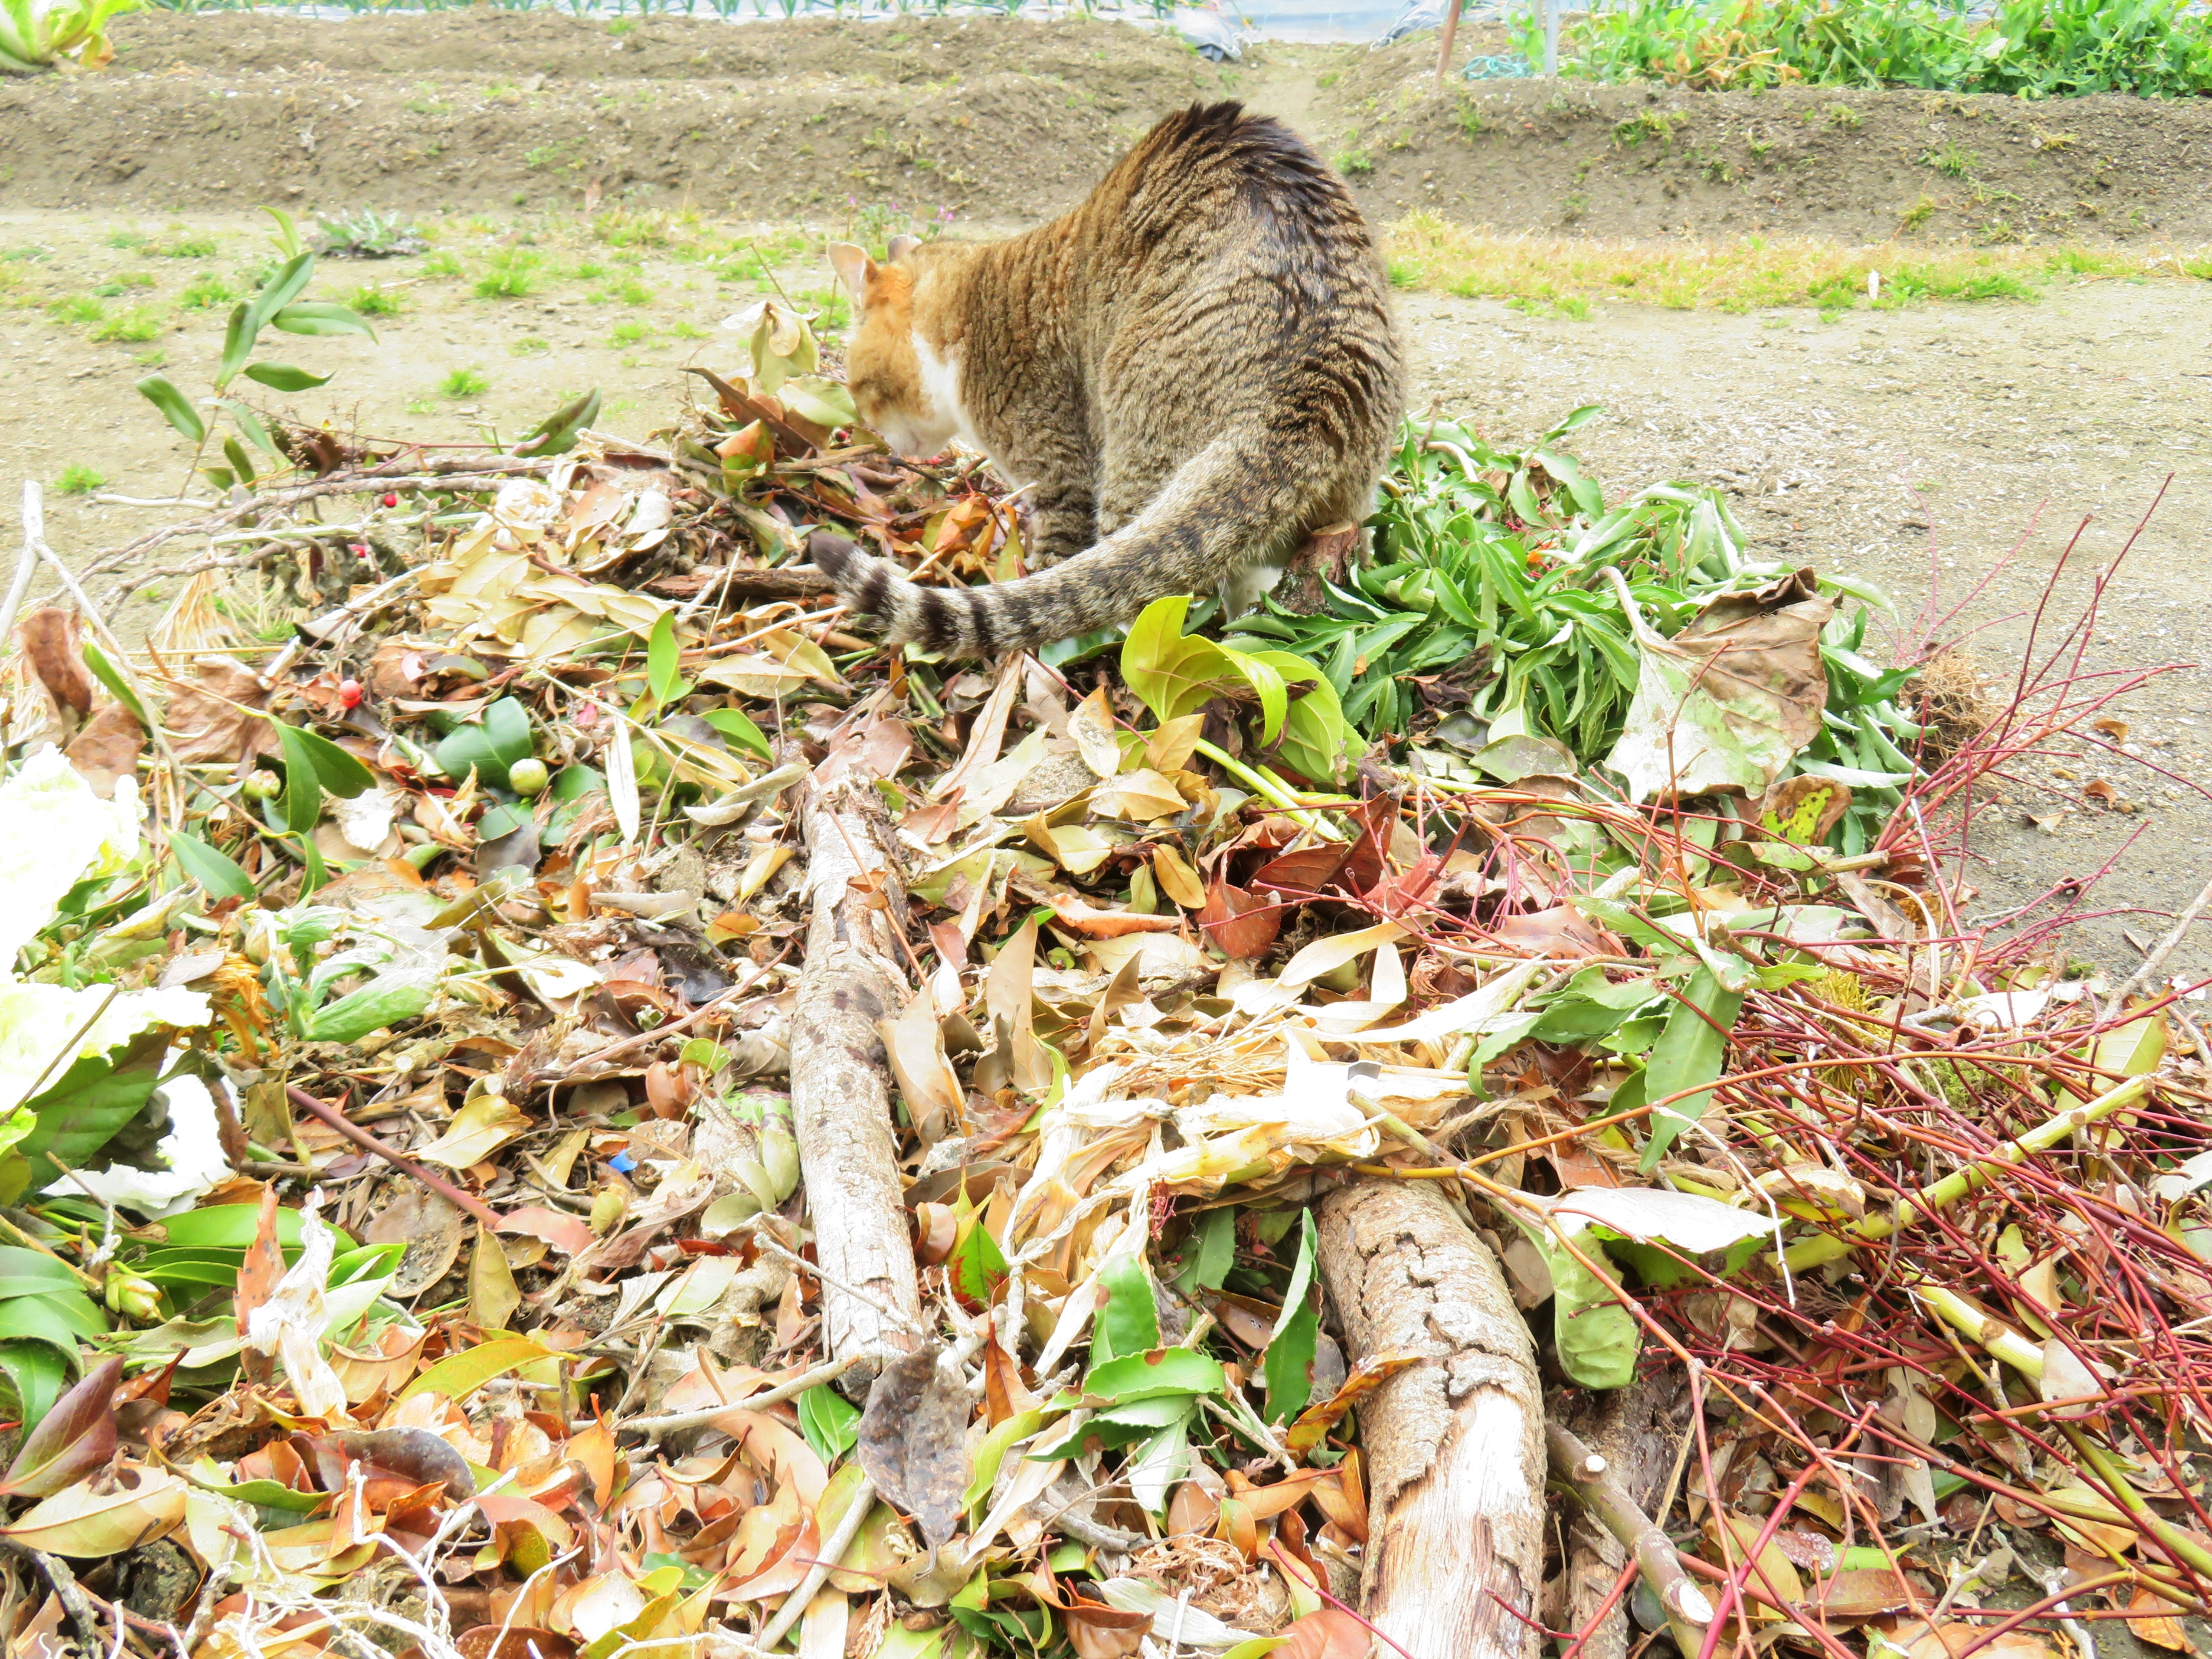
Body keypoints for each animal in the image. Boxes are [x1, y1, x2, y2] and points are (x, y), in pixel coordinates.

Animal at [809, 99, 1398, 663]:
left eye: (858, 388)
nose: (887, 447)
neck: (963, 307)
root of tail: (1310, 381)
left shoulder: (1056, 467)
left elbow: (1054, 563)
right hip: (1341, 512)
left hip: (1135, 454)